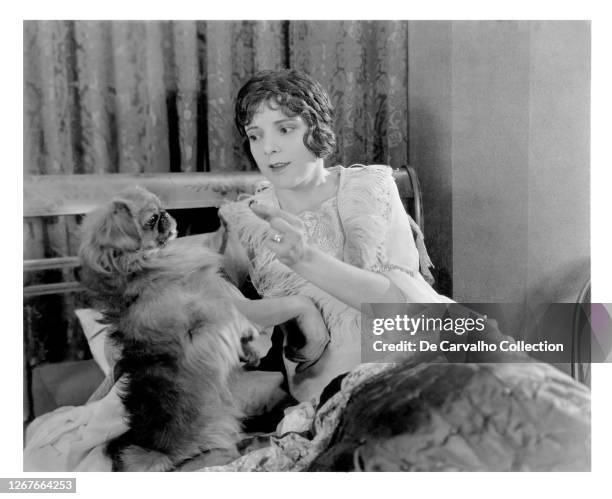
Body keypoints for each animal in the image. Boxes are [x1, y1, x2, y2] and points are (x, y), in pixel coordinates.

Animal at [79, 186, 258, 470]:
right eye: (152, 219)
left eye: (161, 209)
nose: (166, 214)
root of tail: (156, 450)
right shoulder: (199, 334)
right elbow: (226, 315)